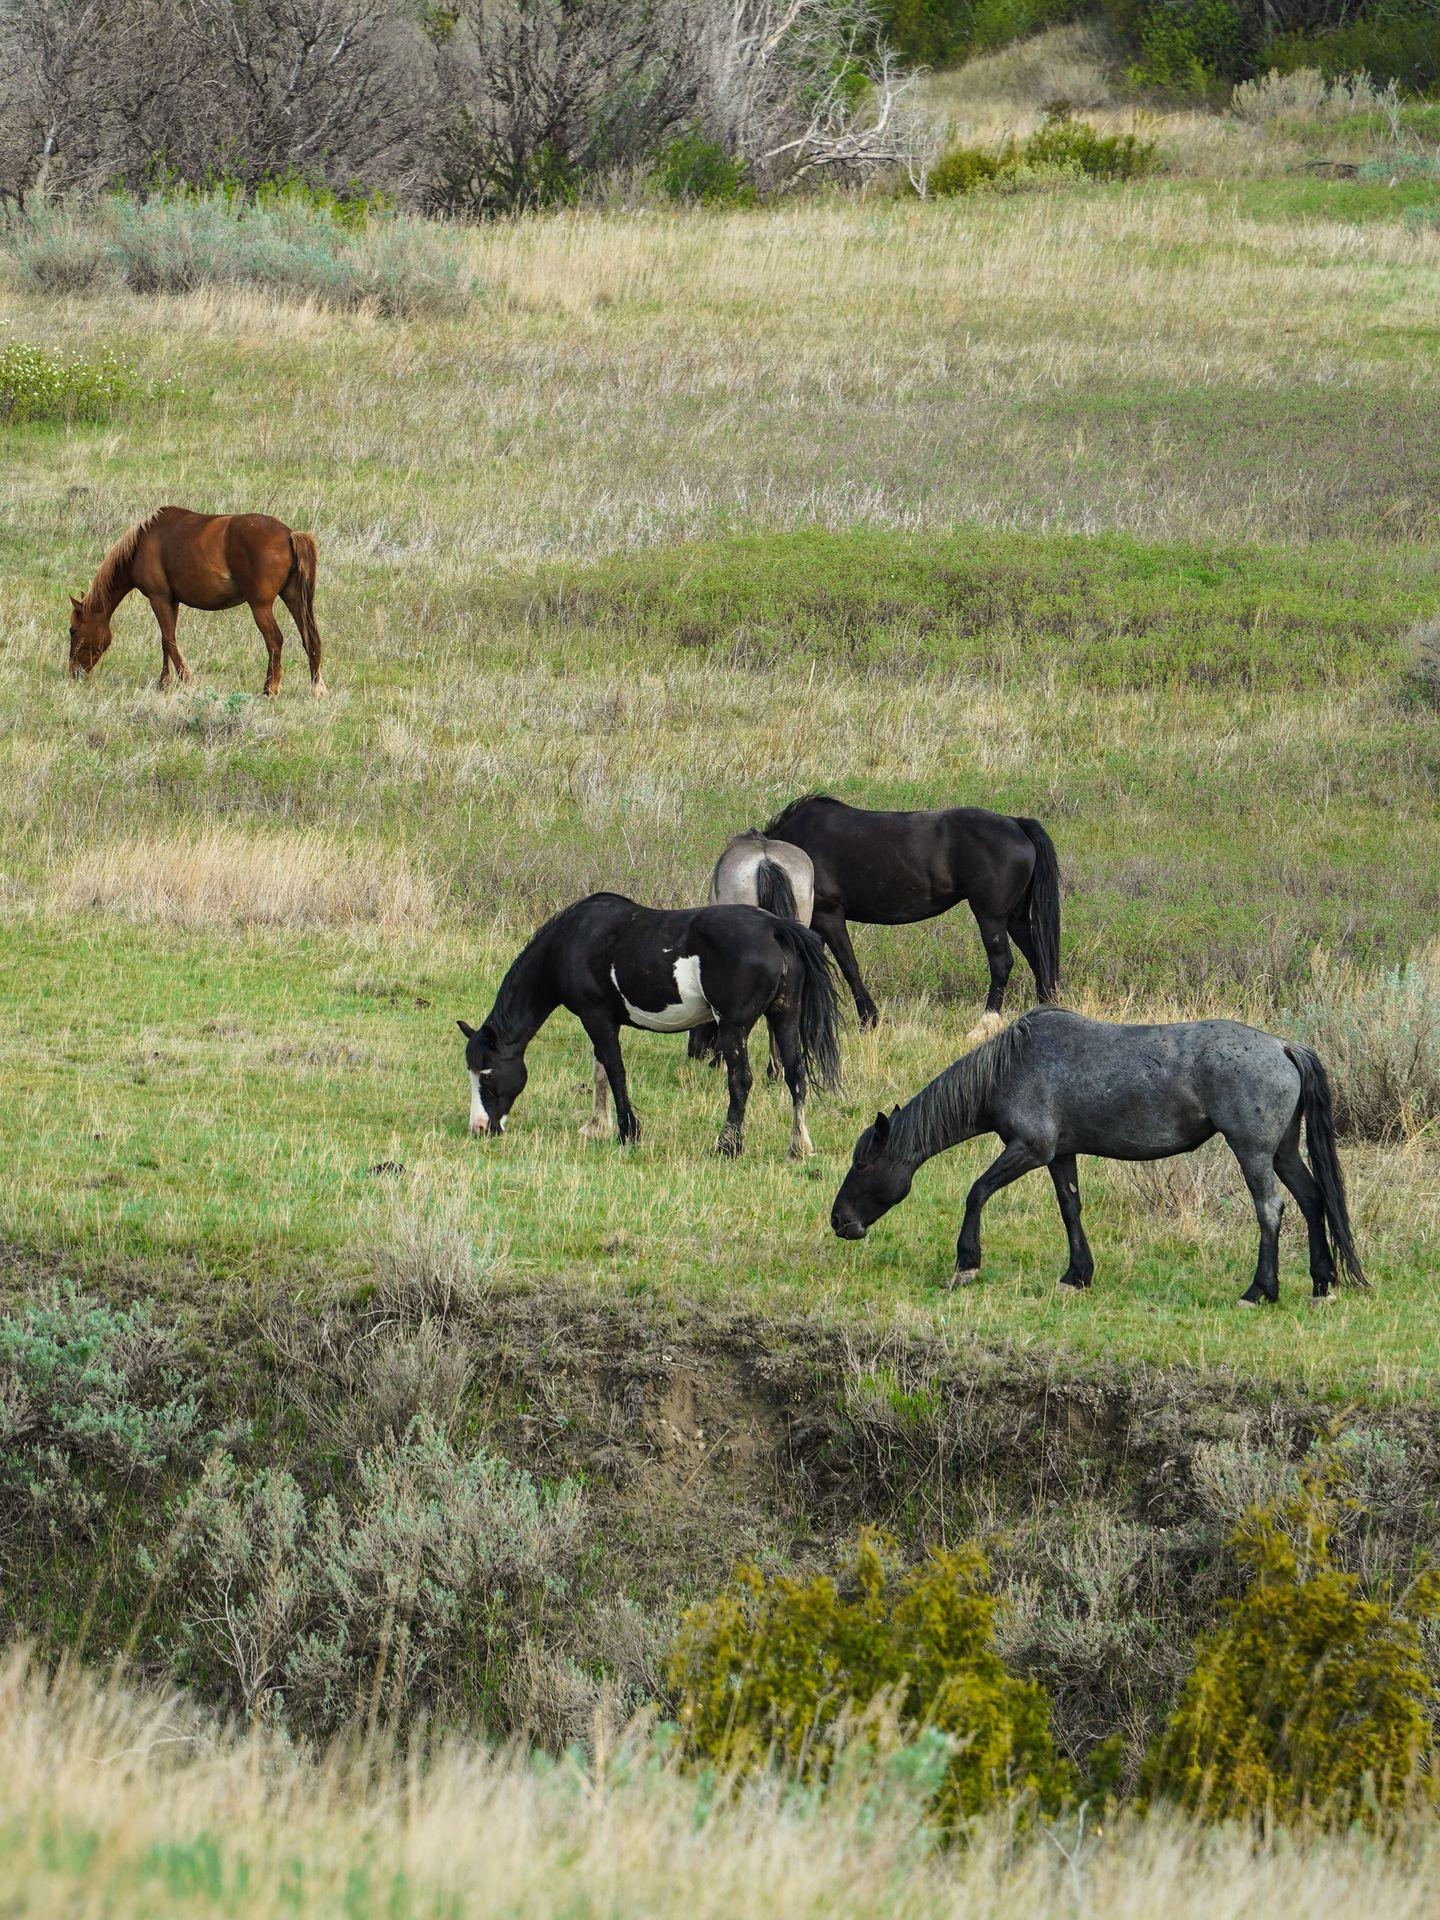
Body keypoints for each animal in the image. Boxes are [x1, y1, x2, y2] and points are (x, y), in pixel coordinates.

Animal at [69, 506, 326, 695]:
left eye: (73, 631)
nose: (74, 673)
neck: (143, 542)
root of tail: (289, 534)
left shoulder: (158, 598)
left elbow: (169, 640)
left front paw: (187, 680)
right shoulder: (171, 601)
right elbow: (165, 641)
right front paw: (164, 682)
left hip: (261, 606)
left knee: (274, 640)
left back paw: (270, 689)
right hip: (294, 599)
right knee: (309, 639)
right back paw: (317, 688)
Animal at [462, 887, 844, 1152]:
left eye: (488, 1073)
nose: (480, 1128)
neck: (572, 941)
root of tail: (775, 928)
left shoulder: (596, 1018)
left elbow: (615, 1071)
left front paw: (627, 1132)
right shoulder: (603, 1021)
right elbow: (601, 1073)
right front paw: (596, 1127)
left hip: (734, 1028)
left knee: (741, 1080)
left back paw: (727, 1146)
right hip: (784, 1017)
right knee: (796, 1076)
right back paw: (798, 1146)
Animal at [768, 791, 1059, 1044]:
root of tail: (1015, 823)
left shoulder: (828, 916)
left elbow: (849, 967)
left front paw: (868, 1022)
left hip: (991, 917)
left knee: (1001, 963)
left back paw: (983, 1026)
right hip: (1014, 918)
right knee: (1037, 957)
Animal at [829, 1006, 1367, 1305]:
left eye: (862, 1164)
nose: (839, 1221)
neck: (1009, 1065)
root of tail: (1283, 1046)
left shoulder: (1029, 1149)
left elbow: (976, 1192)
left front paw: (967, 1263)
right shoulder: (1060, 1155)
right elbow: (1070, 1209)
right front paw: (1077, 1275)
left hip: (1253, 1152)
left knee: (1271, 1209)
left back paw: (1260, 1291)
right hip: (1283, 1151)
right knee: (1313, 1200)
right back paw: (1322, 1283)